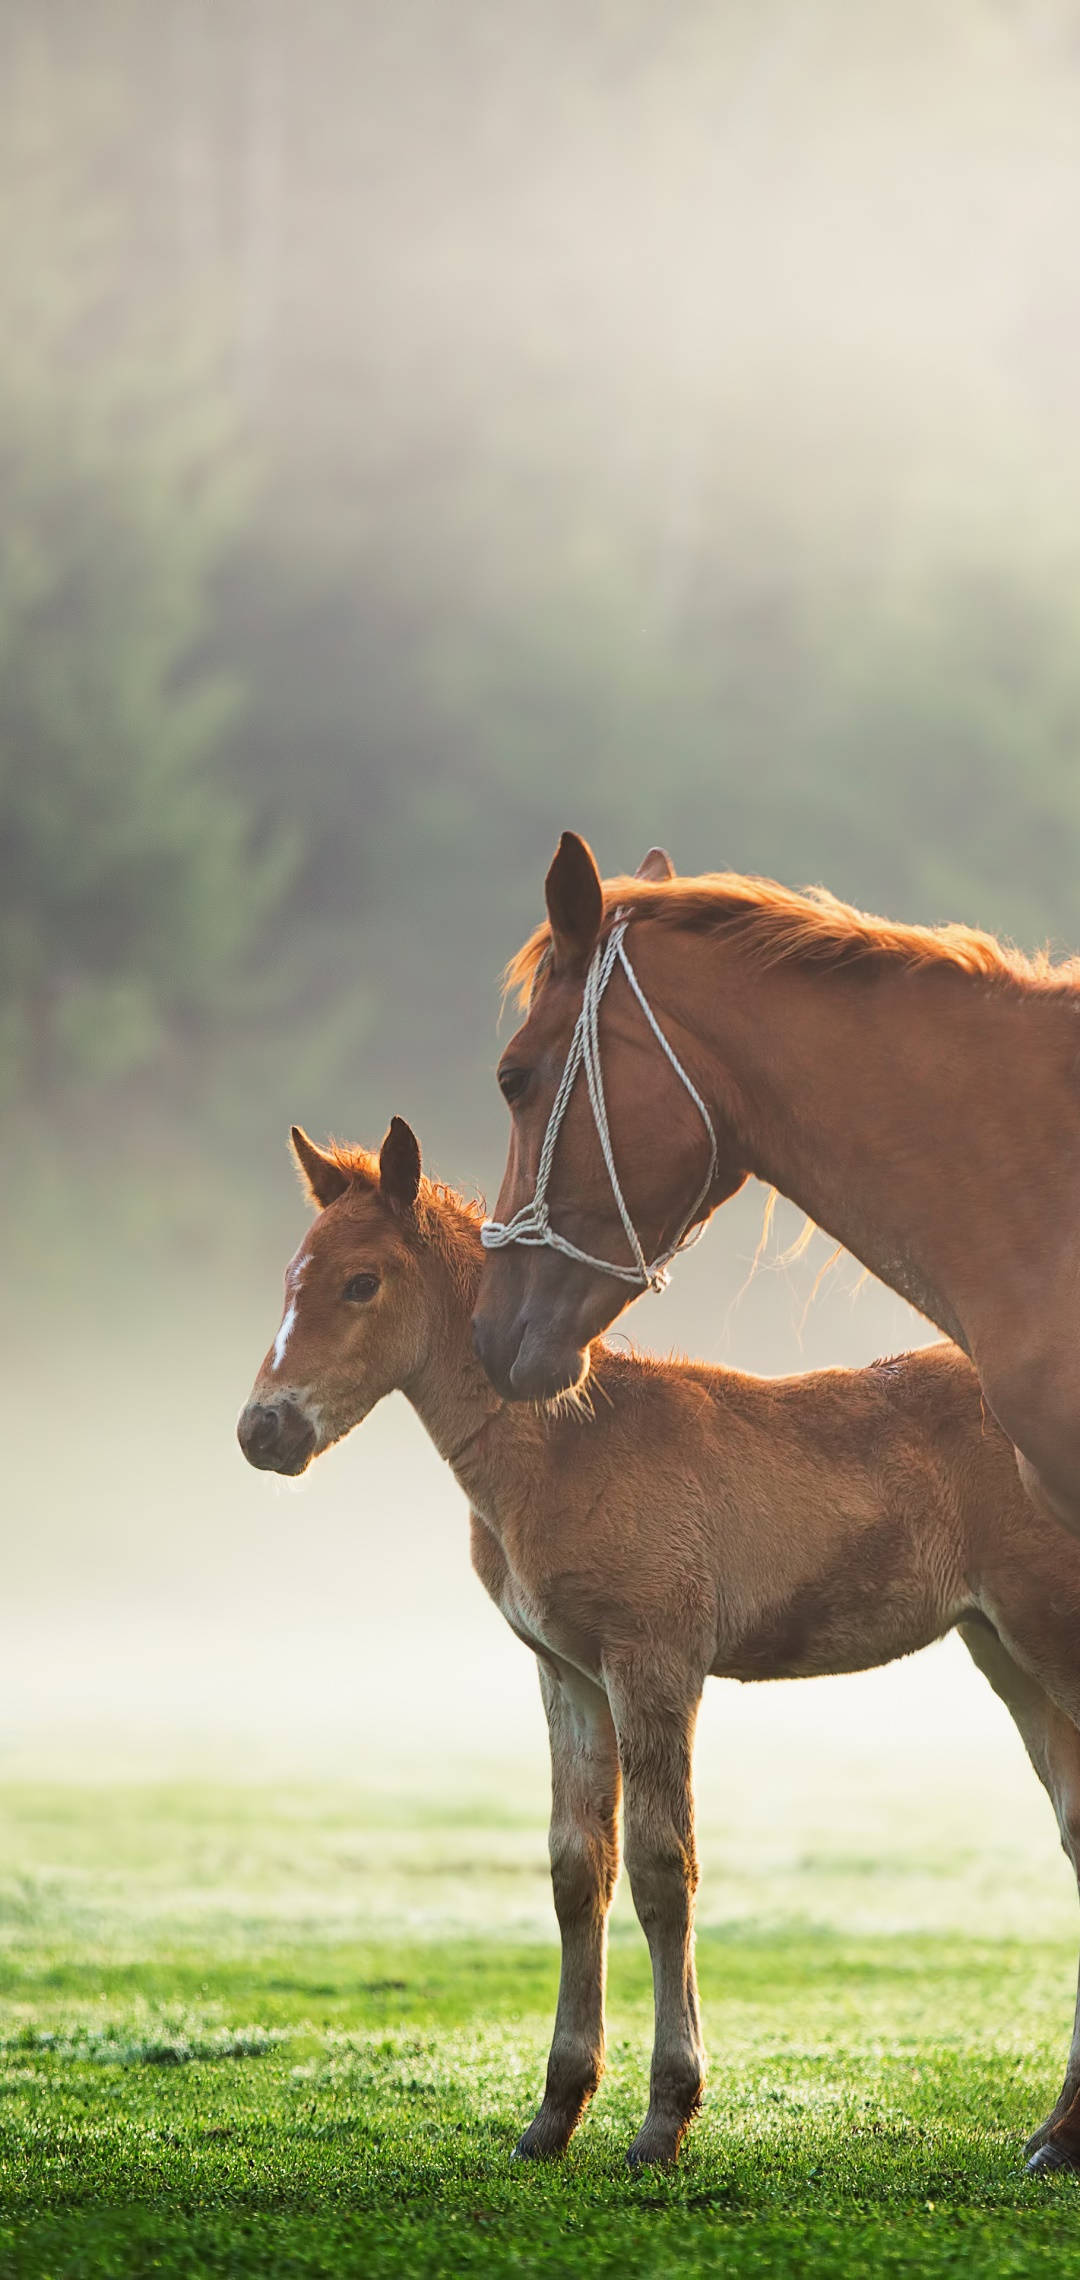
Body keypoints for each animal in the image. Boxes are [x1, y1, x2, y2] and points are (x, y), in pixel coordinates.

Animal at [239, 1115, 1080, 2174]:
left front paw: (664, 2118)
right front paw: (553, 2115)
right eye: (290, 1278)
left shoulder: (655, 1662)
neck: (566, 1447)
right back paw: (1054, 2132)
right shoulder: (568, 1674)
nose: (264, 1431)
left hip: (1048, 1632)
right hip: (1005, 1652)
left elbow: (658, 1866)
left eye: (361, 1283)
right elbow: (577, 1867)